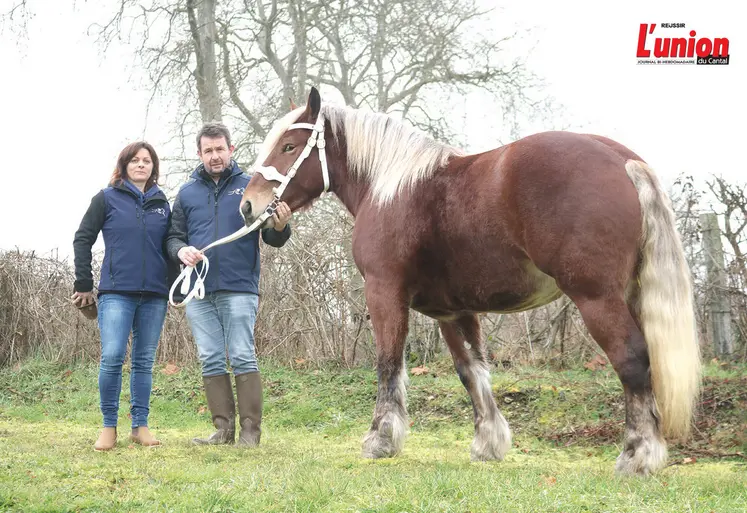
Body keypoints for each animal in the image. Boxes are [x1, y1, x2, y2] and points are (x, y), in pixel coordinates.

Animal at [240, 88, 700, 476]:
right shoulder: (453, 311)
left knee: (632, 360)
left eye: (289, 146)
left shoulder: (384, 293)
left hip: (596, 298)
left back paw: (637, 456)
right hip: (630, 294)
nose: (249, 205)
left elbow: (389, 364)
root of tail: (622, 159)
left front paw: (381, 439)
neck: (389, 188)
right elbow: (472, 372)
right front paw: (488, 444)